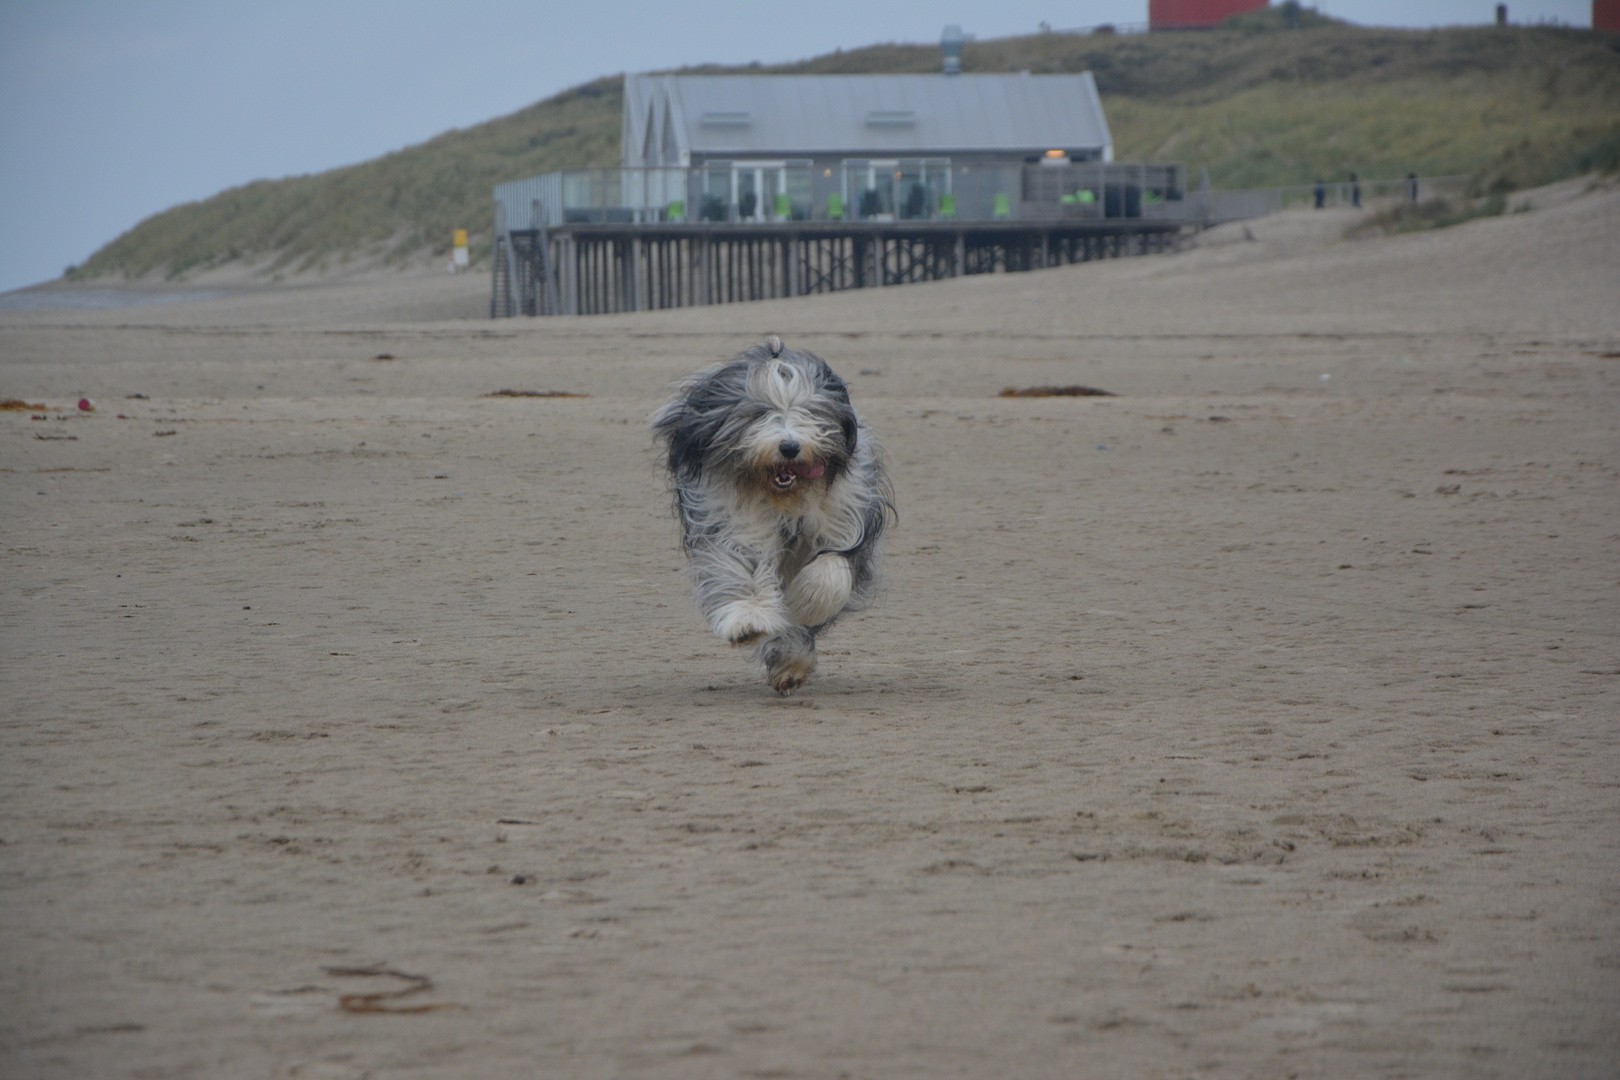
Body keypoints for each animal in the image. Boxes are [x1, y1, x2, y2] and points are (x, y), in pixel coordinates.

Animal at [651, 335, 894, 693]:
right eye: (759, 413)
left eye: (809, 410)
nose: (789, 447)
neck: (786, 500)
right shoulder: (733, 523)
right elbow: (746, 569)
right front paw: (748, 619)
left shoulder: (847, 518)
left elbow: (830, 570)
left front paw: (806, 602)